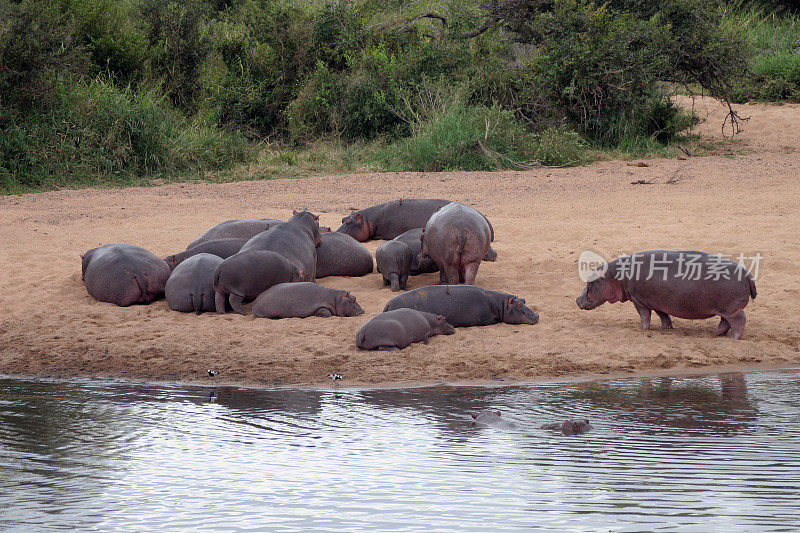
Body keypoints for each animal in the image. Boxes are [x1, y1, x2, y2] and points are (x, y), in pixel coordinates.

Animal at [576, 248, 756, 336]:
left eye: (589, 281)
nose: (577, 299)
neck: (614, 276)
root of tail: (747, 274)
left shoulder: (639, 300)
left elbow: (645, 316)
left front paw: (643, 330)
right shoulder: (657, 301)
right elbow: (664, 316)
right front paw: (667, 329)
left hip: (731, 308)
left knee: (739, 320)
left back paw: (734, 337)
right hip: (726, 308)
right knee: (725, 322)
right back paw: (716, 334)